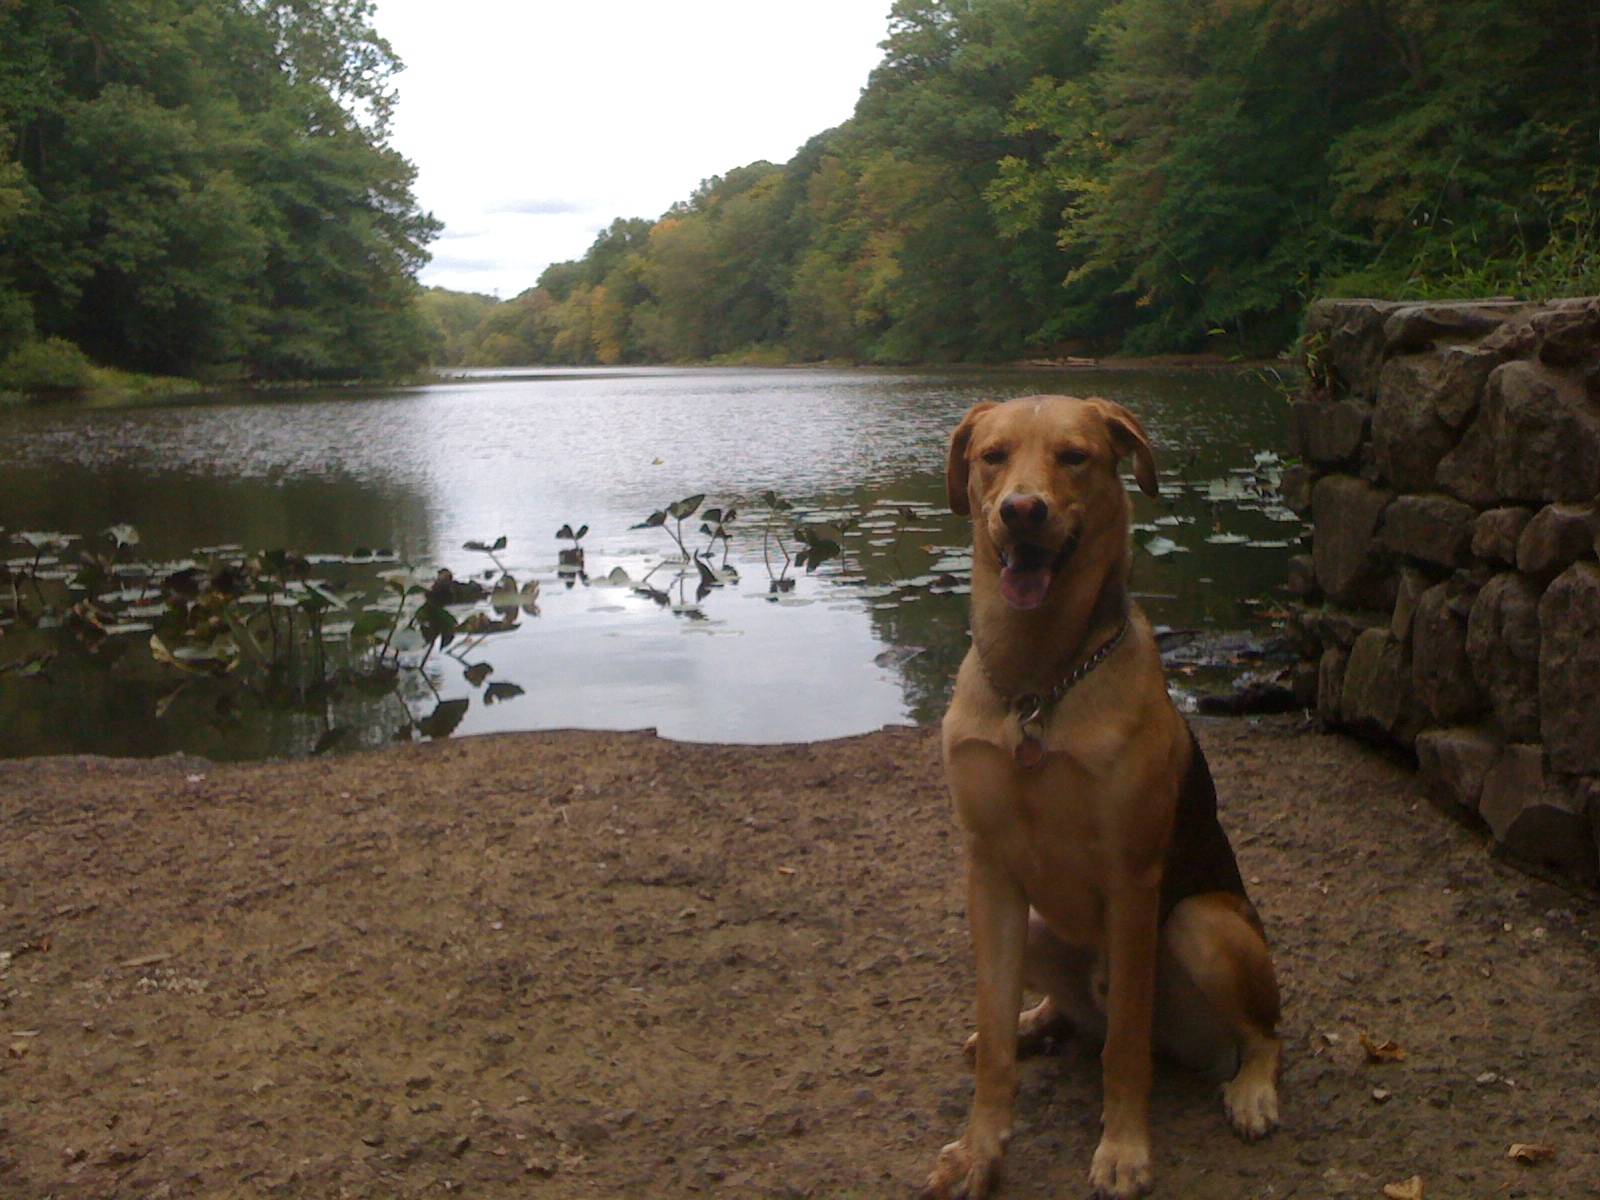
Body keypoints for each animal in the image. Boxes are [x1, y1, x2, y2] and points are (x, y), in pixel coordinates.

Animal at [921, 400, 1280, 1196]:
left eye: (1075, 457)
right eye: (992, 456)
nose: (1023, 511)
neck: (1038, 687)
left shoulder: (1132, 878)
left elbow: (1125, 1050)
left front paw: (1123, 1149)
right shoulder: (988, 874)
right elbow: (994, 1038)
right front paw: (981, 1148)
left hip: (1205, 924)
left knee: (1261, 1032)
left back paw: (1251, 1090)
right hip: (1036, 923)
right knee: (1063, 1013)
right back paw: (1040, 1021)